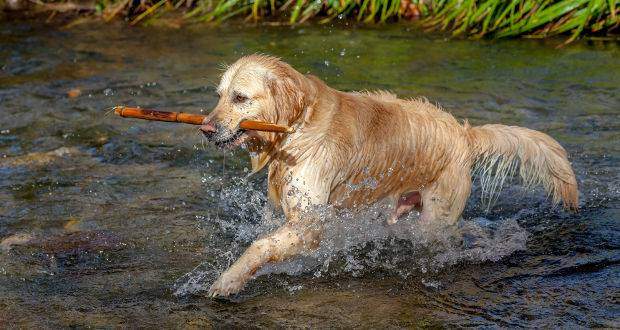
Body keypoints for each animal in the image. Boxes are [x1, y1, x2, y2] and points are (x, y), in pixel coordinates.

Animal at [201, 53, 580, 296]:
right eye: (218, 95)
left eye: (240, 97)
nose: (205, 128)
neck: (298, 125)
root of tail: (464, 134)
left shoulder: (310, 223)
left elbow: (260, 246)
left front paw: (228, 280)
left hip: (434, 221)